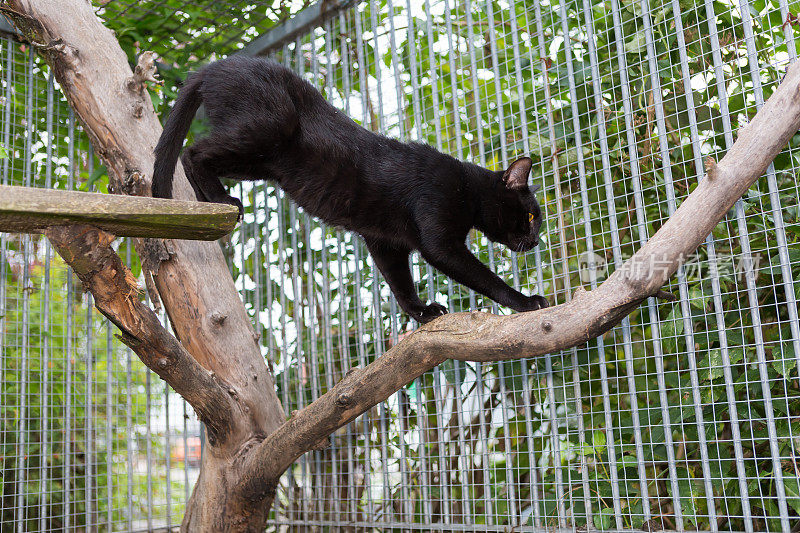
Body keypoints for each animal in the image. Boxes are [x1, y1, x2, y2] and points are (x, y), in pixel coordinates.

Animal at [152, 58, 552, 324]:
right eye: (532, 215)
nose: (535, 241)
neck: (467, 188)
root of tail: (215, 65)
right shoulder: (439, 238)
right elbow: (484, 278)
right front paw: (524, 302)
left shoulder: (385, 242)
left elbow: (400, 284)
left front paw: (422, 313)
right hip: (268, 130)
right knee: (192, 152)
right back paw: (221, 200)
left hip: (260, 162)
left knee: (196, 154)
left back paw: (208, 202)